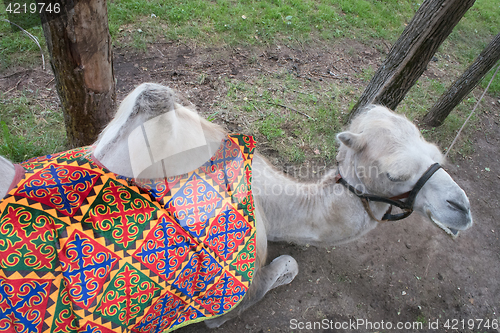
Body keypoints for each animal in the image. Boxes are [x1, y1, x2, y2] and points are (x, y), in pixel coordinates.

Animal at [0, 83, 470, 330]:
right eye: (393, 174)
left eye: (437, 155)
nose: (461, 208)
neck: (267, 200)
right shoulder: (223, 295)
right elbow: (286, 267)